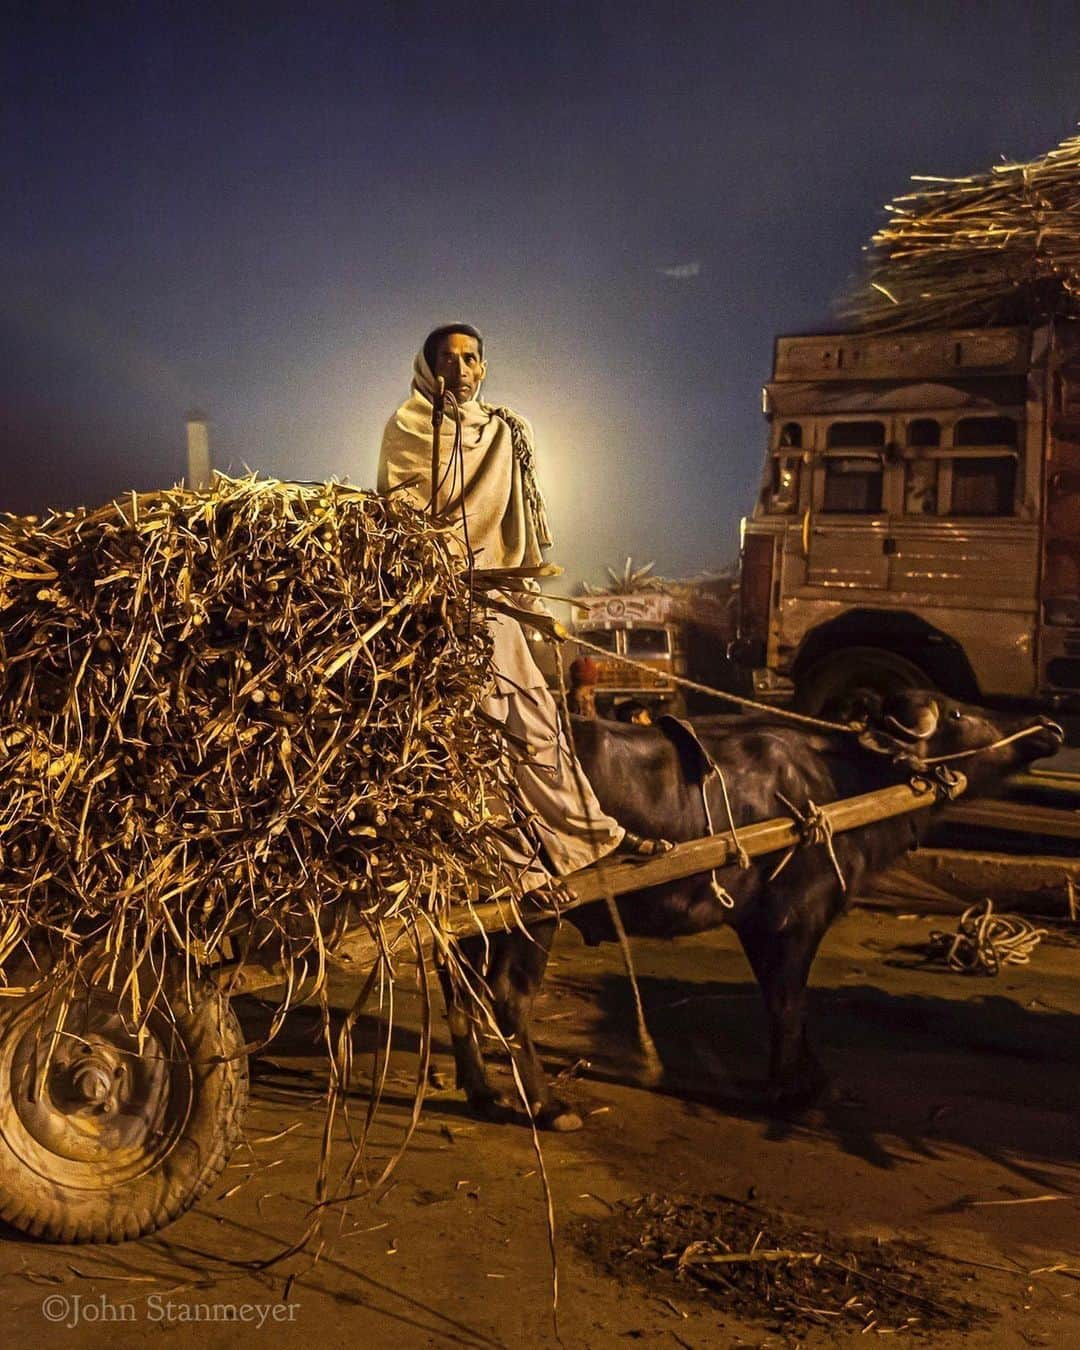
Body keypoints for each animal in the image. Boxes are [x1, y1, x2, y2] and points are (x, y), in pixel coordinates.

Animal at [437, 696, 1063, 1128]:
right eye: (957, 712)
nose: (1049, 727)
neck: (837, 784)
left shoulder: (767, 928)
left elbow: (789, 1005)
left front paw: (815, 1082)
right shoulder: (792, 921)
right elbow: (788, 1004)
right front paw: (792, 1092)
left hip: (467, 910)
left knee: (458, 986)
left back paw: (483, 1091)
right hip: (534, 912)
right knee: (507, 997)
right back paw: (547, 1106)